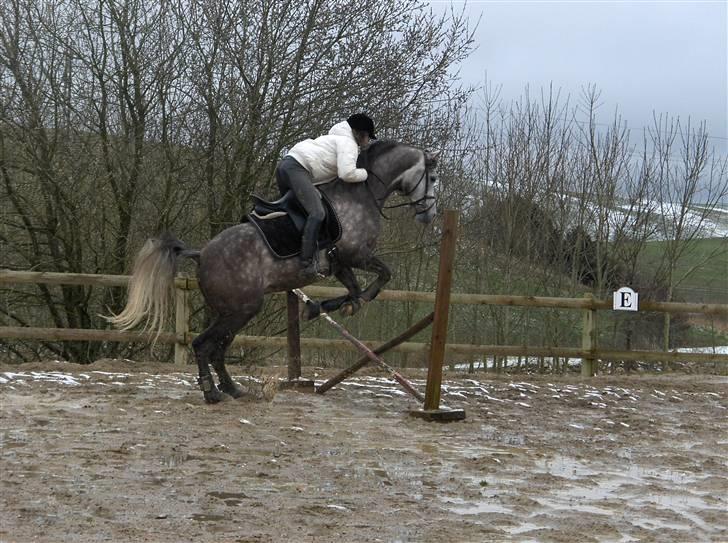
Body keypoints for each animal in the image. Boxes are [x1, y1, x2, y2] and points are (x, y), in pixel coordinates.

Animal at [108, 140, 438, 404]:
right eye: (433, 178)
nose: (429, 215)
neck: (362, 194)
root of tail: (201, 254)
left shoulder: (341, 262)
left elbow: (355, 289)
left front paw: (330, 306)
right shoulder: (353, 255)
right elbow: (383, 276)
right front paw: (336, 306)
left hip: (230, 311)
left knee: (217, 349)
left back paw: (233, 389)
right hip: (242, 309)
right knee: (204, 346)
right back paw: (212, 393)